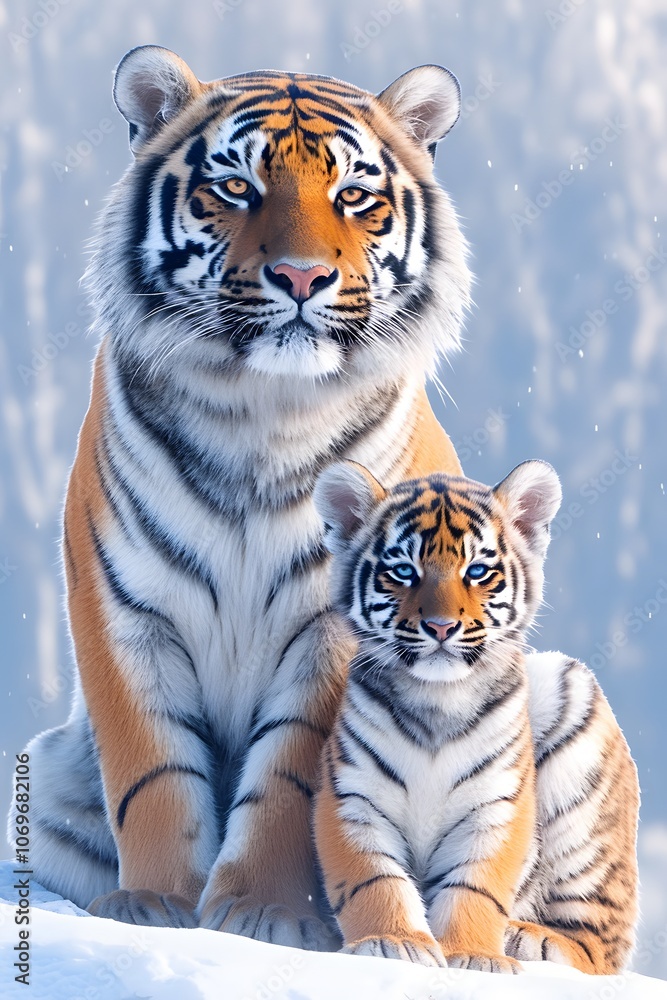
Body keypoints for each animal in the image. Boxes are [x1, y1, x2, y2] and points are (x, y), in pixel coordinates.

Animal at [8, 46, 473, 947]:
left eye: (352, 195)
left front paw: (265, 915)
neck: (262, 411)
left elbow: (288, 778)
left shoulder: (332, 625)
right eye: (234, 187)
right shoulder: (123, 605)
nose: (299, 276)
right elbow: (151, 765)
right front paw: (155, 907)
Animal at [312, 459, 639, 973]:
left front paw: (473, 956)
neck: (436, 701)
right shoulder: (351, 794)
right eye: (403, 571)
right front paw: (393, 942)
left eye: (478, 571)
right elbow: (374, 878)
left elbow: (475, 886)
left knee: (598, 946)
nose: (441, 626)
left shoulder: (497, 805)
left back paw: (527, 939)